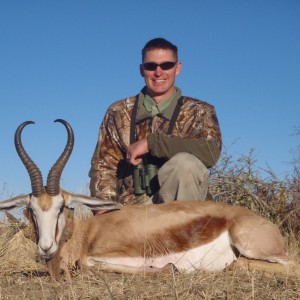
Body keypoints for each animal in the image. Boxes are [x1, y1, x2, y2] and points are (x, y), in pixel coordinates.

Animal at [0, 119, 298, 278]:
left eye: (62, 207)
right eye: (31, 209)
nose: (45, 247)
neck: (86, 234)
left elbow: (88, 263)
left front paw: (170, 269)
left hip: (254, 248)